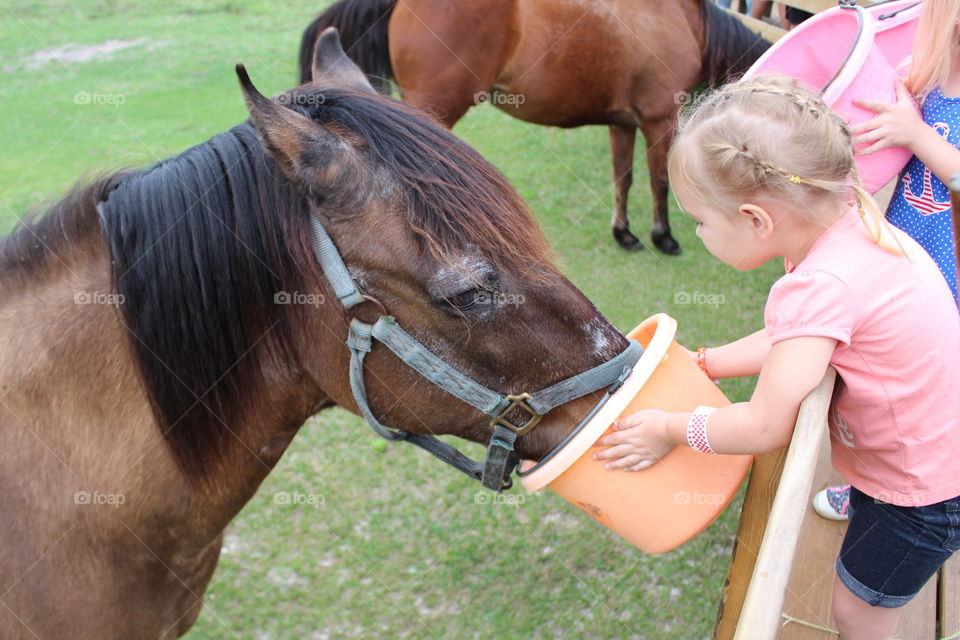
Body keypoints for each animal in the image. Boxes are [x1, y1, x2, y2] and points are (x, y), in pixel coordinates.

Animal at [296, 0, 768, 254]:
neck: (689, 24)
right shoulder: (658, 120)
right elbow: (658, 181)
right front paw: (663, 237)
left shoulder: (623, 123)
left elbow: (623, 177)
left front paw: (624, 232)